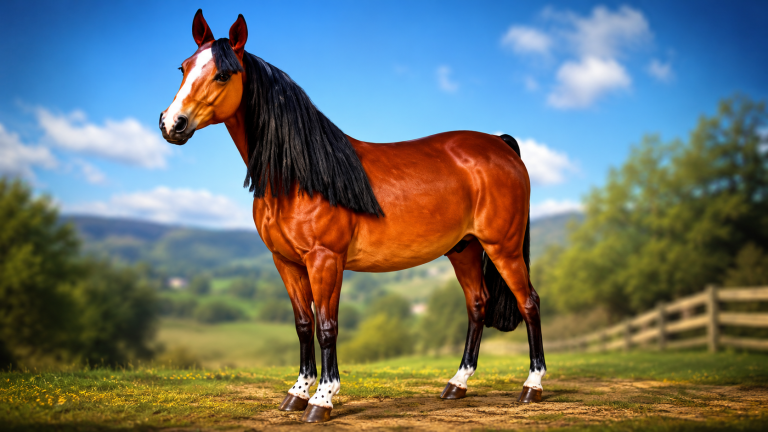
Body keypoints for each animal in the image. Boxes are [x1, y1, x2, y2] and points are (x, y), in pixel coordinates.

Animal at [160, 10, 546, 423]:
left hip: (503, 247)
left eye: (222, 74)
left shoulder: (325, 260)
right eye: (183, 67)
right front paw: (297, 393)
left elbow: (327, 327)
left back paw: (532, 386)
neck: (300, 174)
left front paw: (322, 399)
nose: (172, 123)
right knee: (477, 306)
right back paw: (456, 384)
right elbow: (303, 325)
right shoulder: (286, 263)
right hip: (465, 249)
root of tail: (499, 145)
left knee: (529, 302)